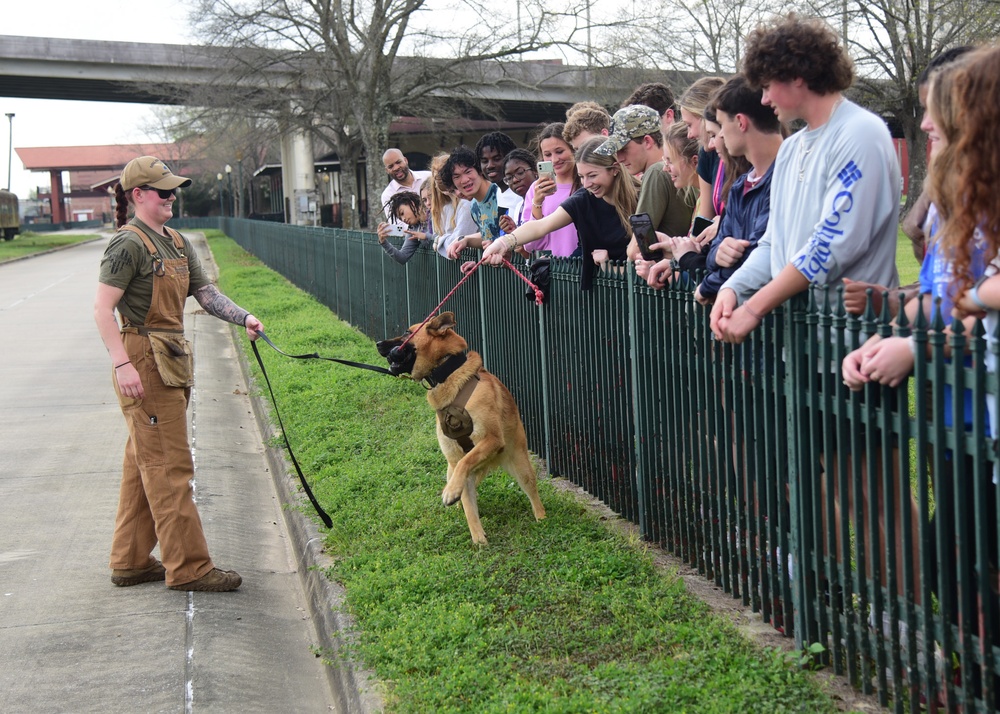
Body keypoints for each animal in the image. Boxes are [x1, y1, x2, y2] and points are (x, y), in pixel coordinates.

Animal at [376, 312, 548, 544]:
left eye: (406, 332)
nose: (378, 343)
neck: (447, 374)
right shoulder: (457, 459)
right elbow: (468, 502)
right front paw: (478, 538)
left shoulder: (491, 439)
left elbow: (466, 462)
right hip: (452, 468)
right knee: (463, 489)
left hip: (520, 465)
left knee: (532, 492)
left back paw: (541, 517)